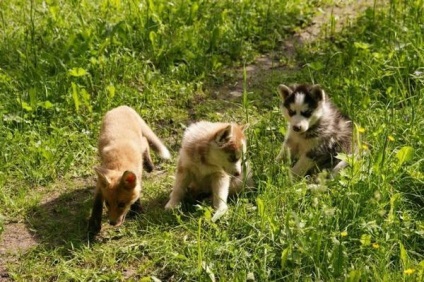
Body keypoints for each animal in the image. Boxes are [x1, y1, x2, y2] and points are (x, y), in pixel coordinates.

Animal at [88, 104, 171, 235]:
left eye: (122, 204)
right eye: (107, 203)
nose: (112, 223)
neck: (119, 162)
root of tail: (122, 106)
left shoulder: (138, 174)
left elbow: (137, 192)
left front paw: (137, 210)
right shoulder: (100, 184)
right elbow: (96, 204)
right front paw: (94, 225)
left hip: (140, 141)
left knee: (145, 141)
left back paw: (149, 165)